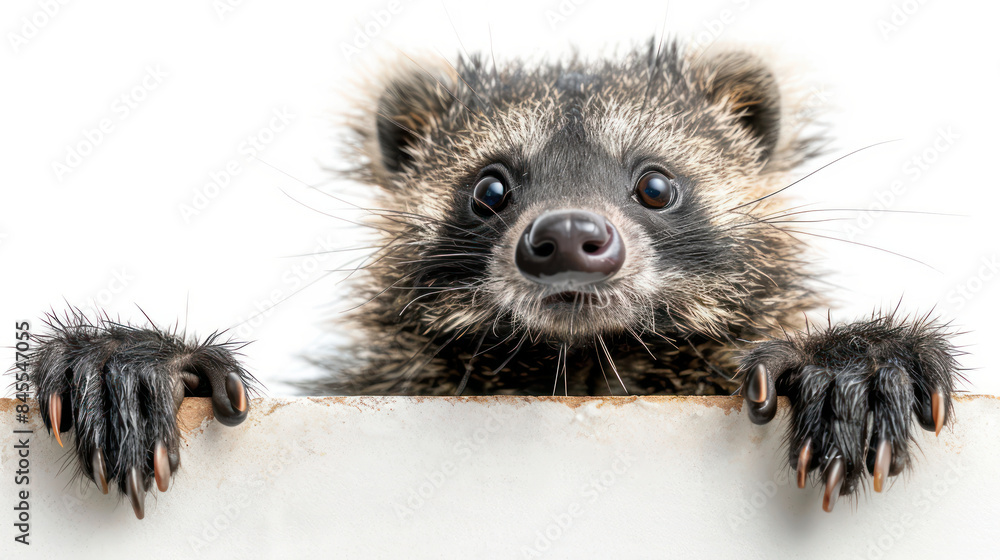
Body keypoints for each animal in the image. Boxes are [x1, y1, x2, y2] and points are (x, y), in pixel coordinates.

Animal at [28, 40, 960, 519]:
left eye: (656, 184)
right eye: (491, 188)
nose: (569, 238)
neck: (580, 366)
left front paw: (854, 362)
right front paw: (138, 361)